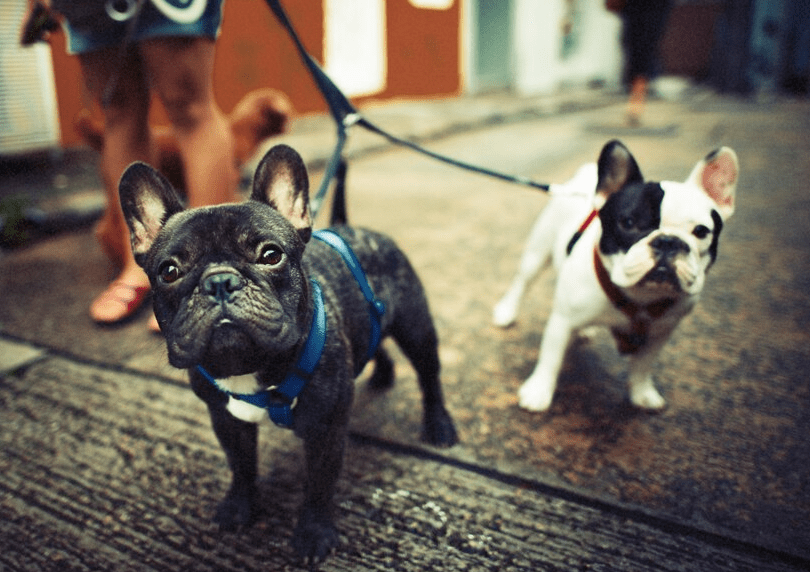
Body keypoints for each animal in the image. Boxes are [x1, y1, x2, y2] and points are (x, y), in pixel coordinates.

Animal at [120, 143, 460, 564]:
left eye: (271, 255)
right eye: (168, 271)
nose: (220, 280)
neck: (252, 369)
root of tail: (352, 229)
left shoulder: (324, 431)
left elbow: (317, 487)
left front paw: (313, 534)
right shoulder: (226, 419)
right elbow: (241, 467)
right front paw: (239, 506)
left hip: (416, 328)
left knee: (429, 375)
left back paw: (439, 426)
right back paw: (381, 374)